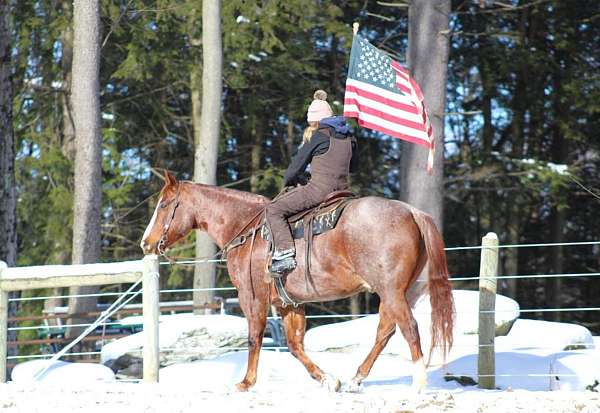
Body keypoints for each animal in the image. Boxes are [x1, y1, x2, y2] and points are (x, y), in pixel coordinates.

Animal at [141, 172, 452, 392]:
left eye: (164, 204)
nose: (146, 243)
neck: (245, 227)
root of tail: (411, 211)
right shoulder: (289, 303)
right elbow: (294, 345)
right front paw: (327, 379)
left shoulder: (251, 297)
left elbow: (254, 337)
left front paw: (246, 382)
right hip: (399, 293)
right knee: (385, 332)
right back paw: (356, 378)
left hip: (391, 291)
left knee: (409, 328)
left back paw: (418, 383)